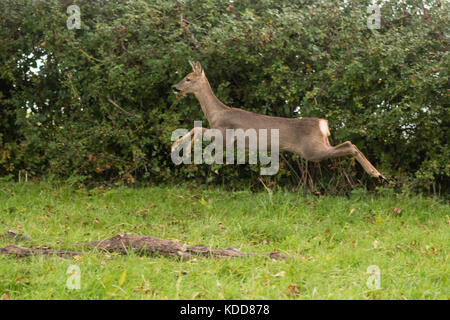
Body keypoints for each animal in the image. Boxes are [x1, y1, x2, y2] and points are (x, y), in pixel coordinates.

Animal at [171, 61, 388, 184]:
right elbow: (197, 128)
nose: (174, 88)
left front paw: (181, 149)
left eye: (188, 78)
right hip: (319, 145)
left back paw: (377, 174)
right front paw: (179, 148)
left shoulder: (225, 134)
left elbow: (197, 128)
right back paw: (379, 175)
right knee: (349, 144)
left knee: (349, 145)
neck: (216, 113)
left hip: (312, 151)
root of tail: (322, 123)